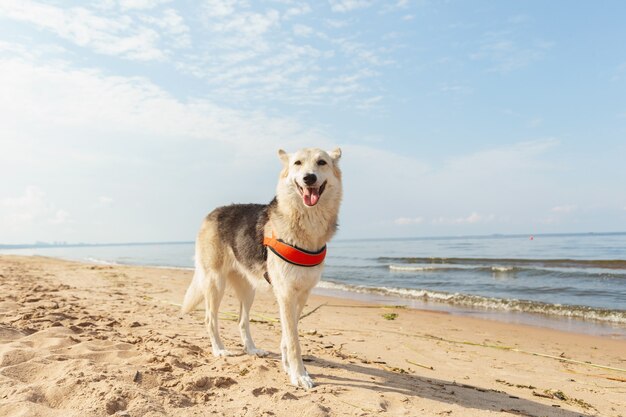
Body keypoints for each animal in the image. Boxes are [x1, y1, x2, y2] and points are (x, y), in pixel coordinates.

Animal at [180, 146, 342, 386]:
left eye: (321, 162)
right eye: (297, 163)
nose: (309, 178)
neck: (305, 223)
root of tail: (211, 213)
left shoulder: (301, 295)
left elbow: (288, 334)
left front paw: (287, 367)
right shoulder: (286, 294)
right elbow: (293, 341)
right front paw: (299, 374)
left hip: (248, 290)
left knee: (242, 321)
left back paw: (252, 349)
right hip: (215, 283)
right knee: (210, 318)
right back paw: (219, 350)